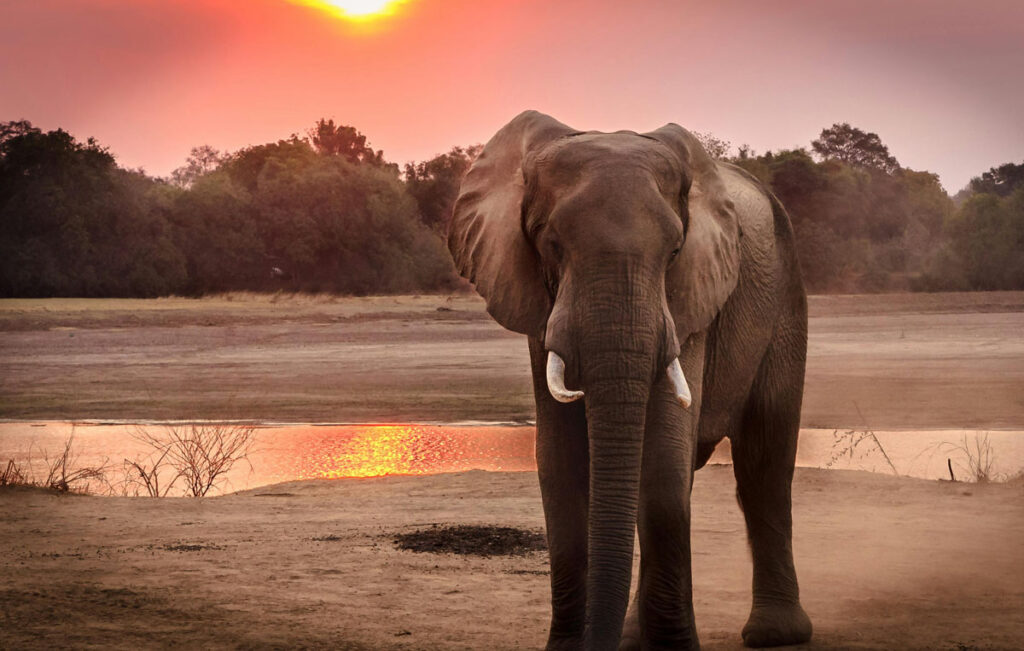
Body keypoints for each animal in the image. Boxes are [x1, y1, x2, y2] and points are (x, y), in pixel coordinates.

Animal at [447, 111, 812, 650]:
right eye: (551, 245)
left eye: (676, 250)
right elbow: (560, 462)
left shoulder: (691, 301)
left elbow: (660, 462)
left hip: (786, 294)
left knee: (765, 460)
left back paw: (776, 634)